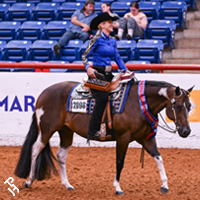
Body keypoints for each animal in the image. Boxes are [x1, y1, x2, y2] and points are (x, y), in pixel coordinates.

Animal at [14, 79, 193, 195]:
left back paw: (67, 185)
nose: (186, 131)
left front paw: (165, 186)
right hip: (46, 129)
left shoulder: (146, 139)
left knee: (61, 155)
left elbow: (159, 158)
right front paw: (118, 188)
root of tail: (43, 94)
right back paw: (29, 181)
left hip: (66, 131)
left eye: (189, 106)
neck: (139, 103)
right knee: (35, 149)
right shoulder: (123, 138)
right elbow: (120, 162)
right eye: (178, 106)